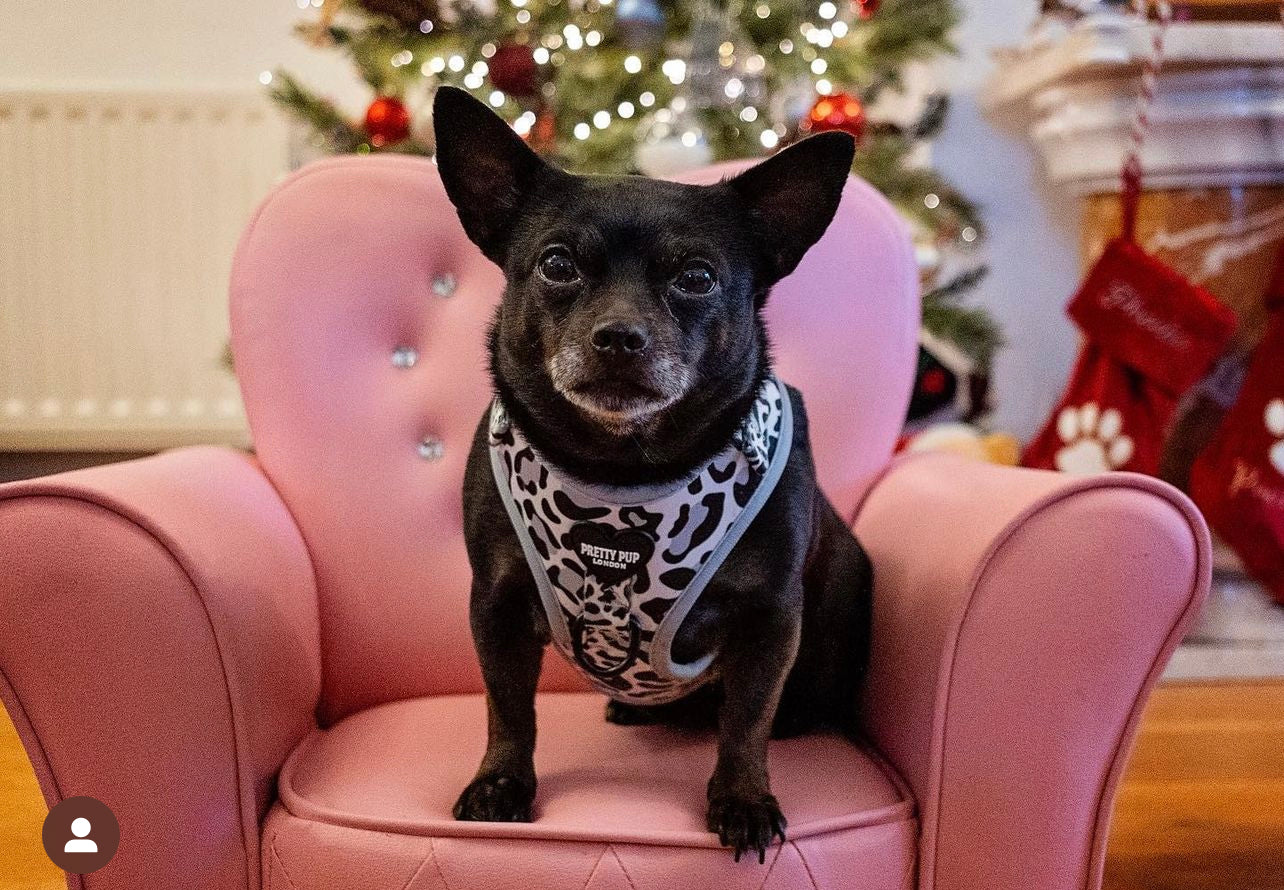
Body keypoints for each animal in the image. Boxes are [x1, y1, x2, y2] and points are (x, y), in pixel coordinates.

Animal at [433, 86, 873, 863]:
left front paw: (743, 800)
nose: (619, 336)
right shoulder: (496, 606)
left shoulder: (770, 620)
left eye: (696, 278)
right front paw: (500, 784)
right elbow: (507, 707)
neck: (622, 467)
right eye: (557, 266)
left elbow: (746, 721)